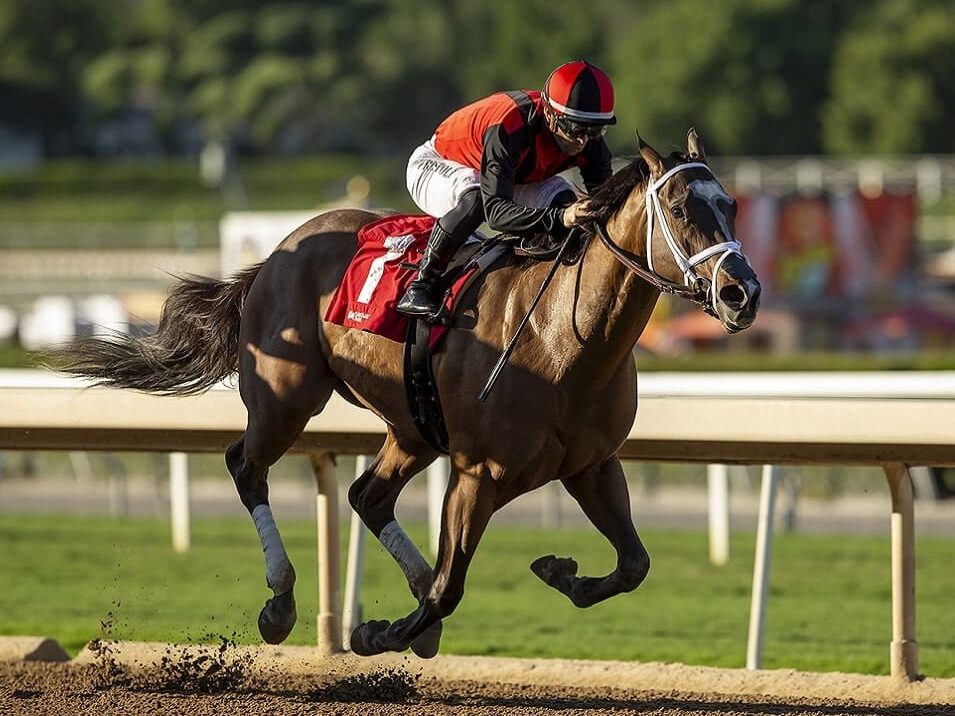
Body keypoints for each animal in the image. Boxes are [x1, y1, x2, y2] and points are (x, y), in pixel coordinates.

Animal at [58, 130, 760, 660]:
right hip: (287, 396)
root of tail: (280, 249)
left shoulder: (592, 465)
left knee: (367, 495)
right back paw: (281, 602)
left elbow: (635, 563)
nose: (742, 293)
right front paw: (379, 630)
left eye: (729, 204)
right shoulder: (480, 472)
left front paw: (559, 572)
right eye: (680, 208)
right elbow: (452, 587)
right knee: (247, 465)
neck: (565, 337)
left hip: (413, 425)